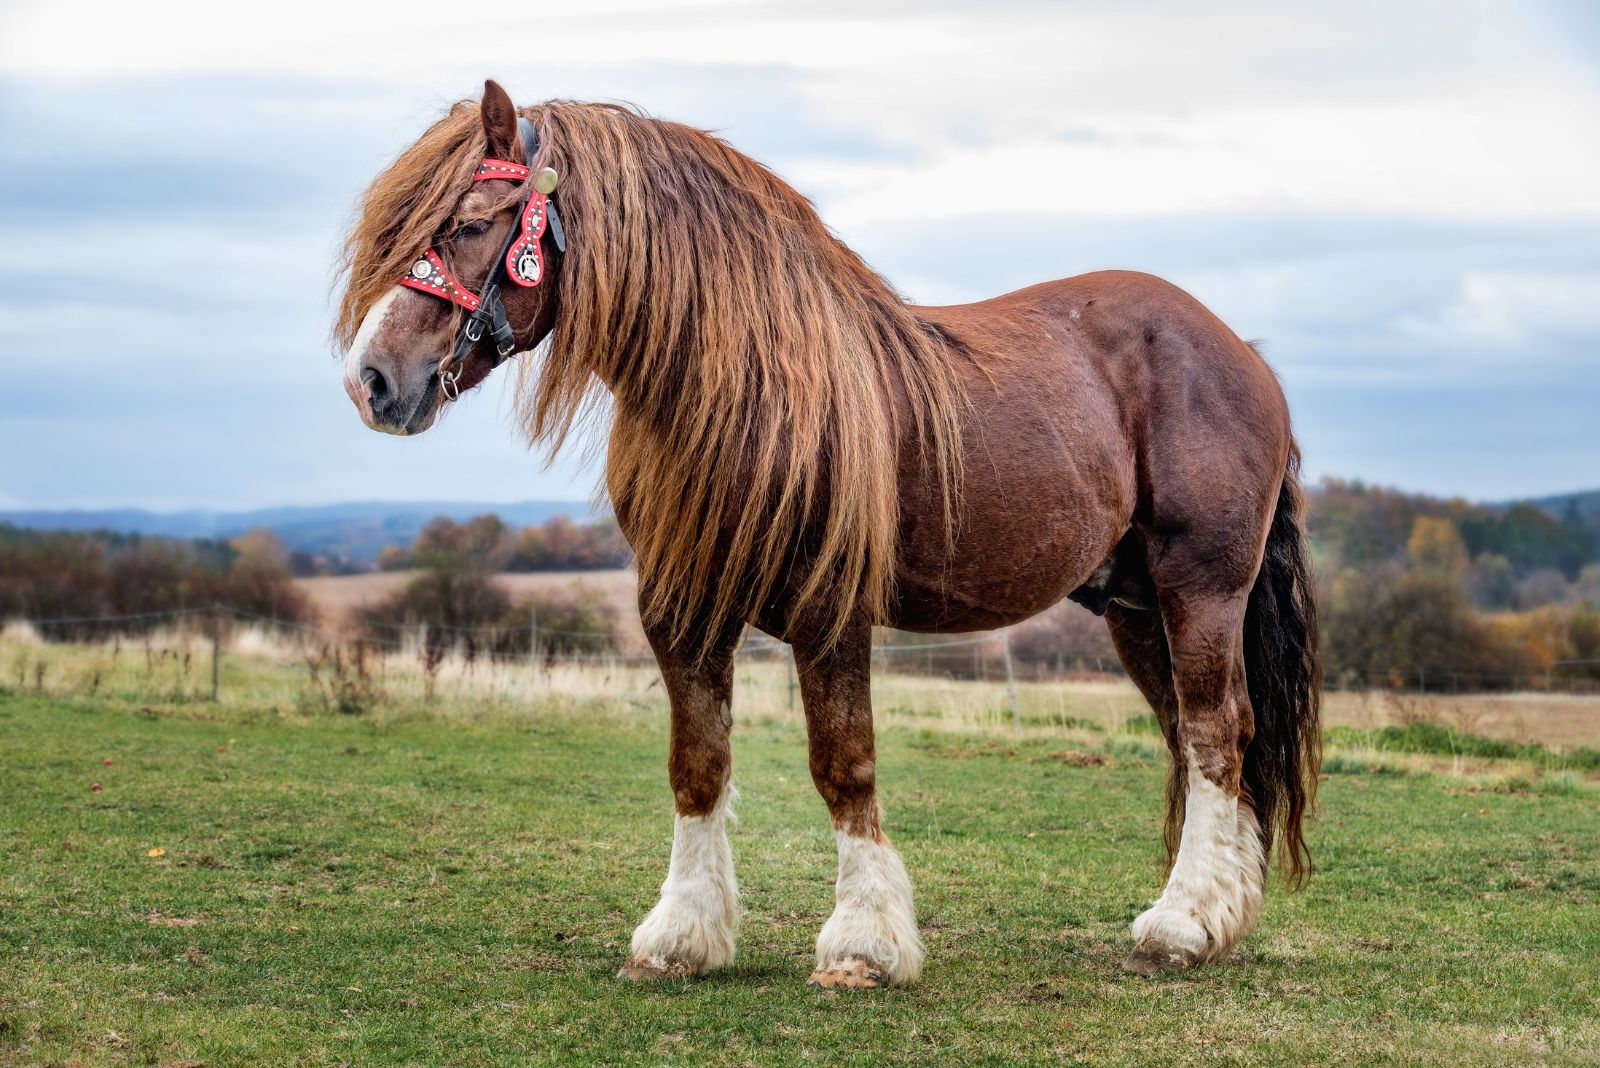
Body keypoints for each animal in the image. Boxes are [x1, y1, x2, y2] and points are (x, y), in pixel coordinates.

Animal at [331, 79, 1318, 991]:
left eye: (469, 223)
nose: (371, 380)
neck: (740, 386)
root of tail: (1243, 352)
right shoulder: (678, 612)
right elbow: (698, 765)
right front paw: (681, 937)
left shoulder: (829, 610)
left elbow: (844, 765)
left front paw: (863, 945)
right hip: (1133, 605)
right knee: (1194, 737)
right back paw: (1212, 915)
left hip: (1200, 589)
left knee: (1216, 734)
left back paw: (1183, 927)